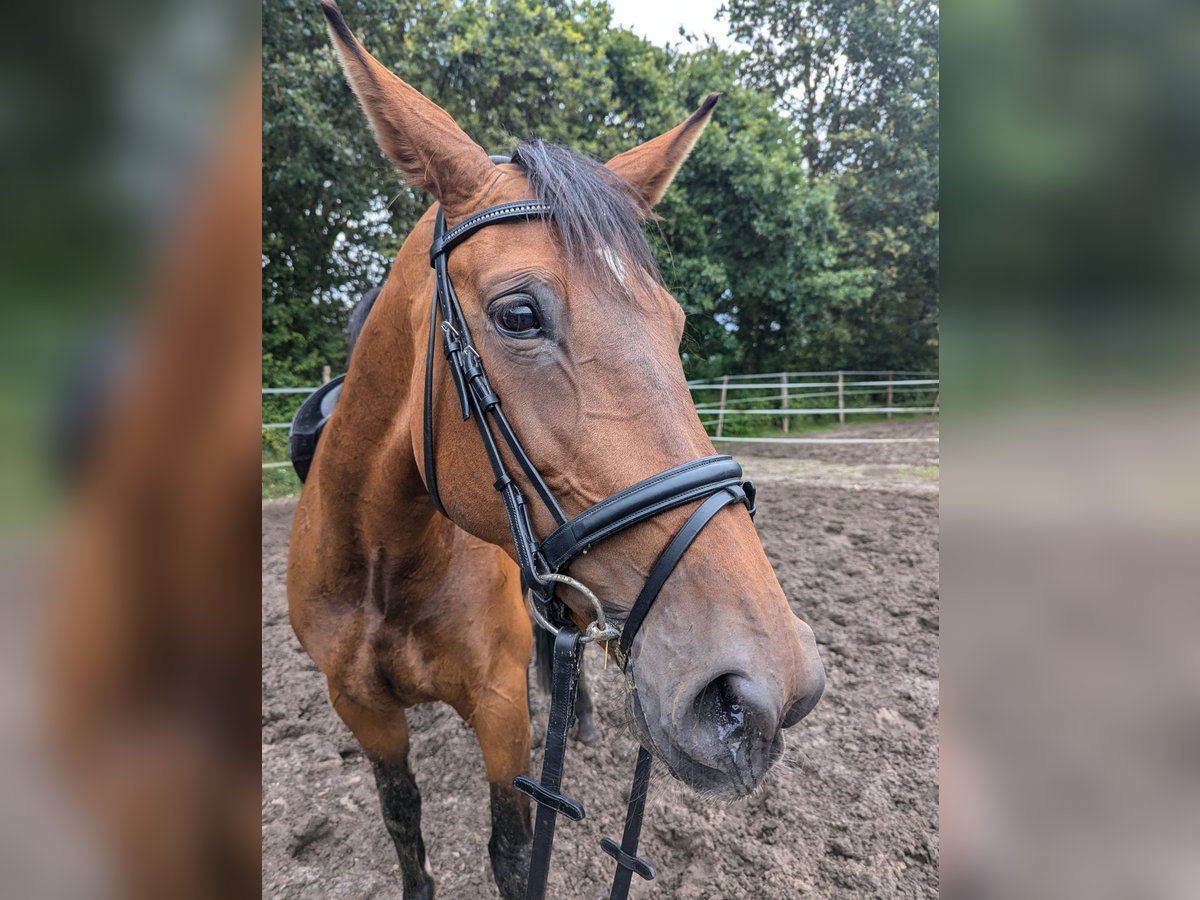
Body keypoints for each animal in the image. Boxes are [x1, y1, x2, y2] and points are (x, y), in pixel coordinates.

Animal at [289, 3, 825, 897]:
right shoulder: (362, 711)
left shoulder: (500, 708)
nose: (765, 689)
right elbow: (405, 827)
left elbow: (511, 851)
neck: (382, 560)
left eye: (678, 324)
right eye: (518, 315)